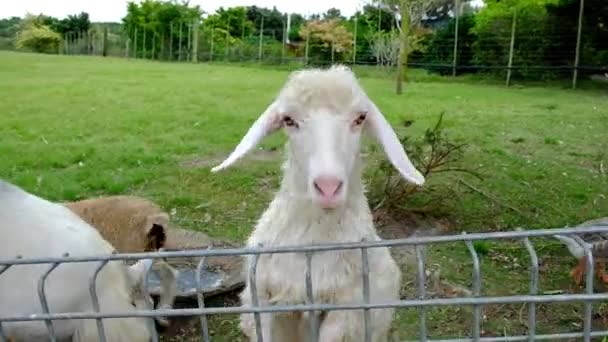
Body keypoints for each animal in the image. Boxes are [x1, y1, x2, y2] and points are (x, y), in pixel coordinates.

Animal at [211, 65, 426, 340]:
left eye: (360, 119)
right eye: (288, 120)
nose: (328, 187)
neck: (312, 239)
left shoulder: (346, 312)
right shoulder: (263, 298)